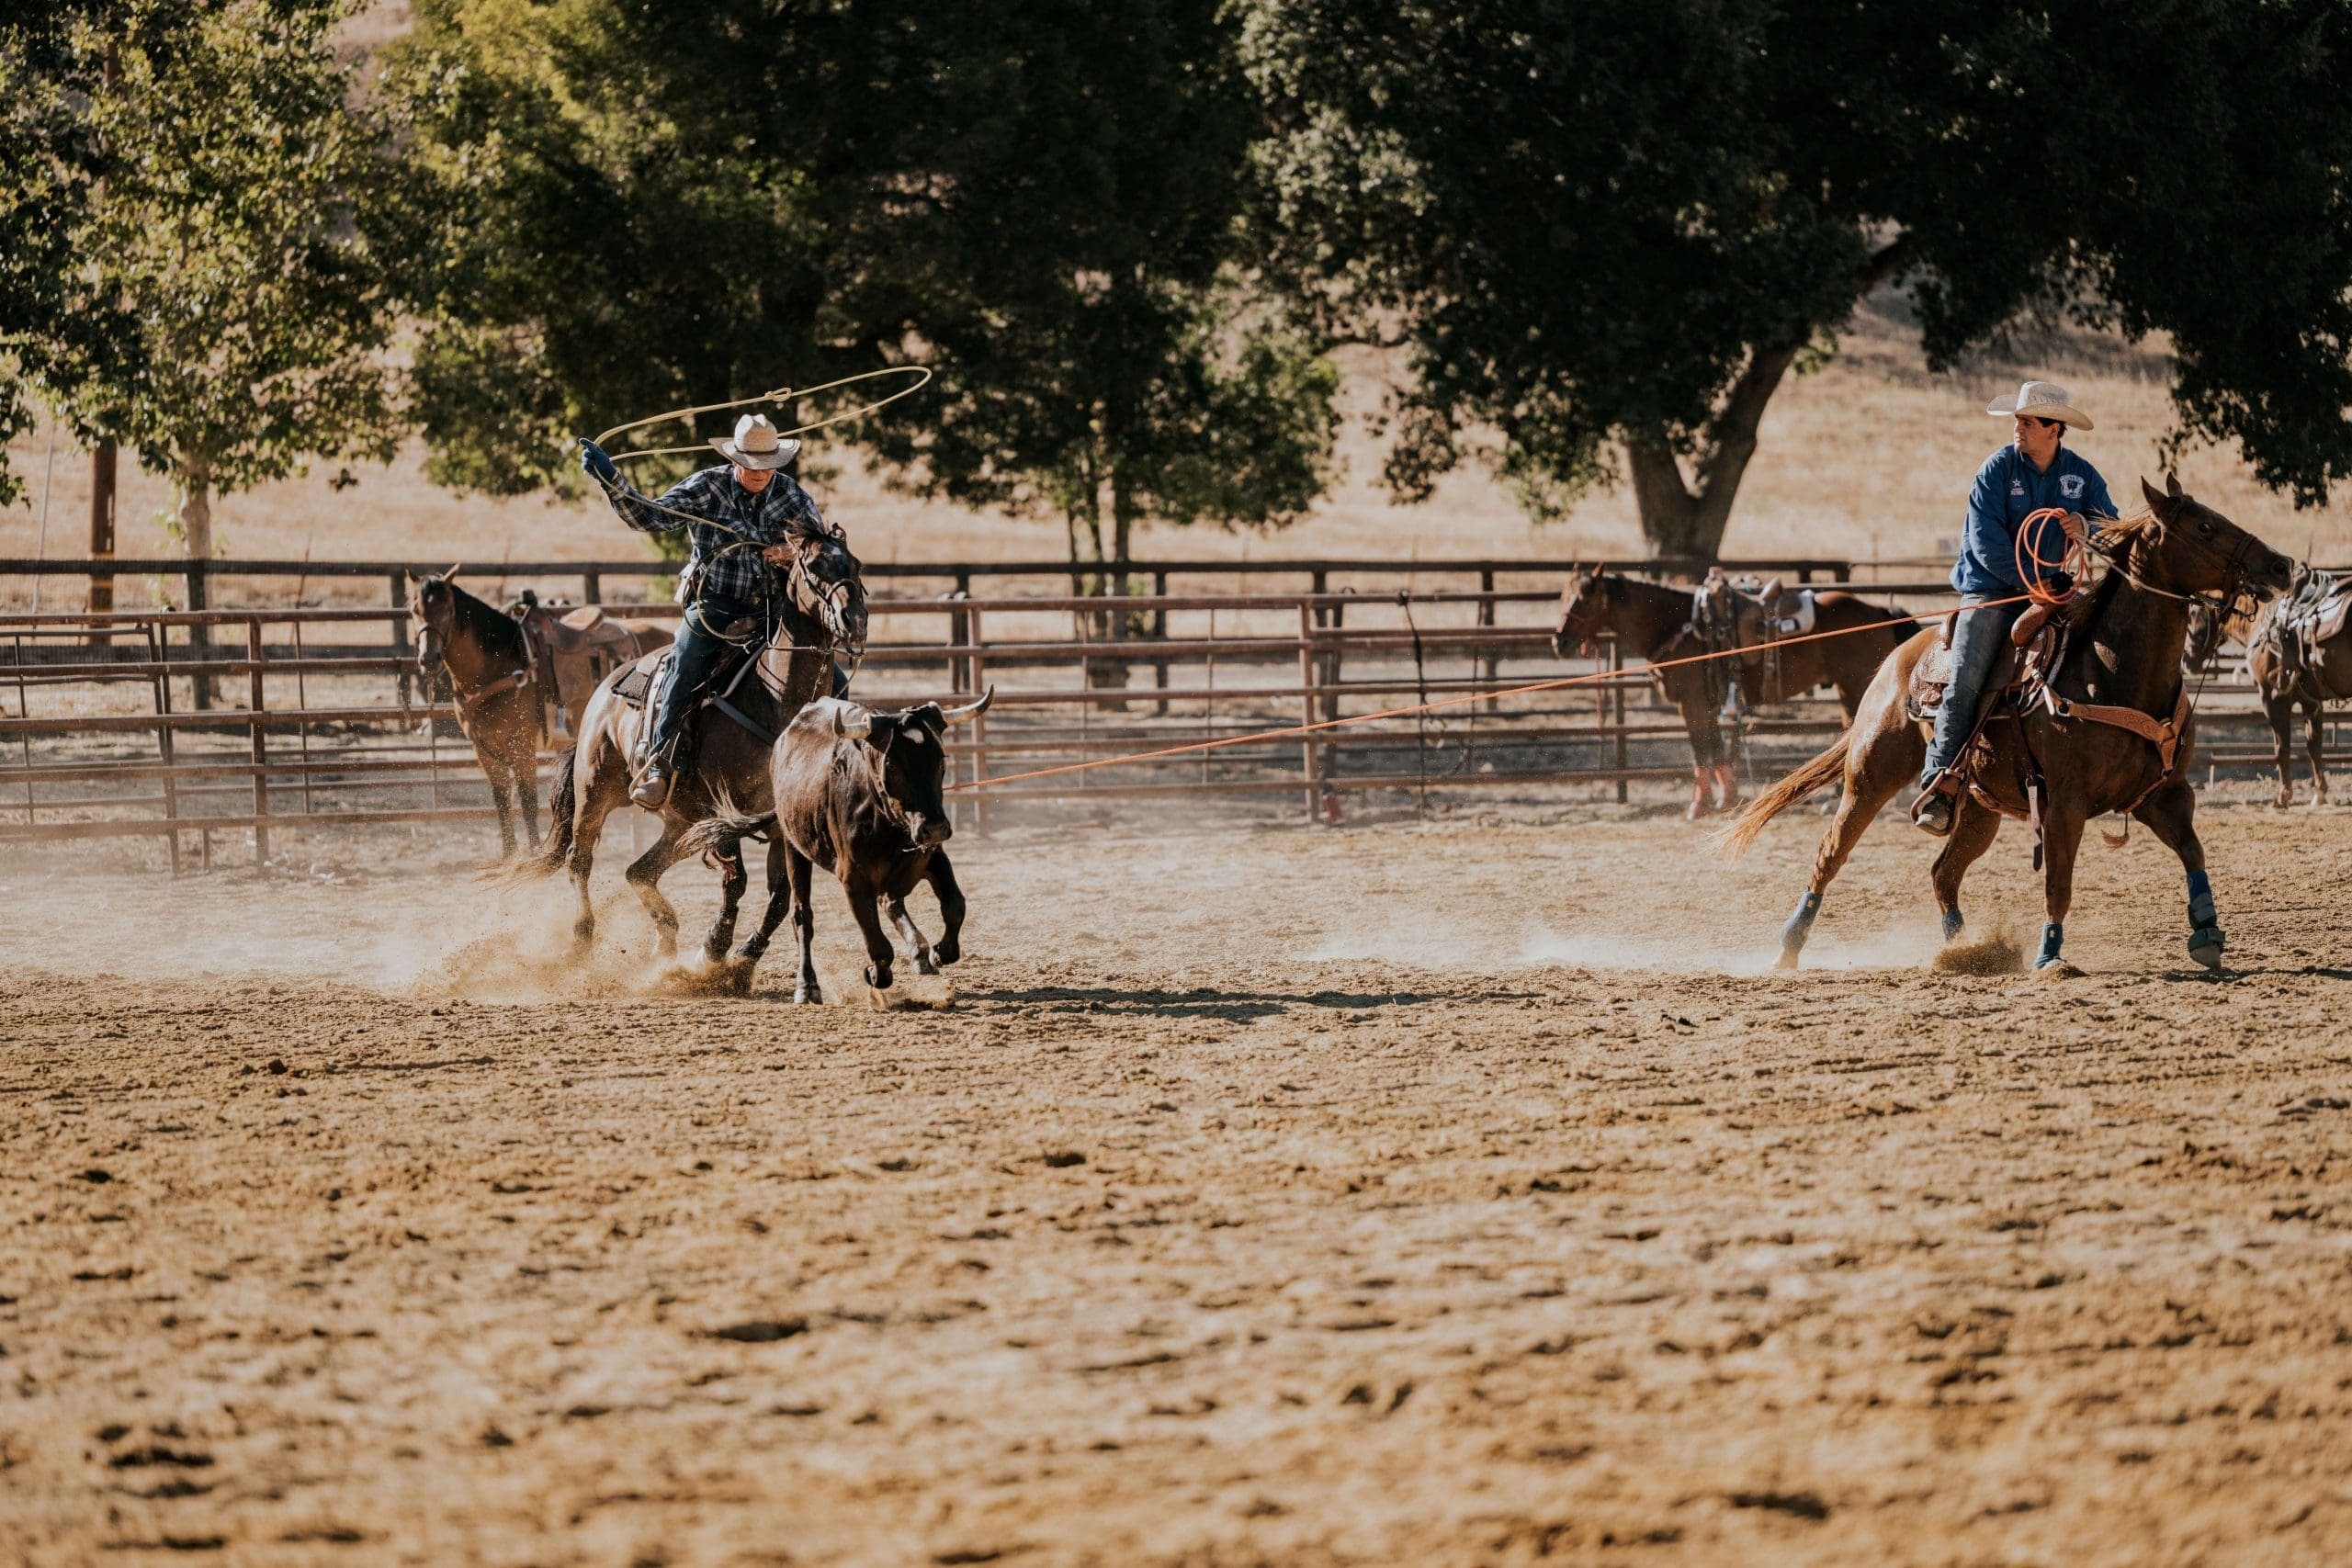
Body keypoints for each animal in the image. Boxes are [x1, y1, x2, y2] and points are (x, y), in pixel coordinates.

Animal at [1552, 564, 1918, 818]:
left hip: (1855, 687)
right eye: (1563, 595)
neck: (1678, 626)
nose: (1559, 641)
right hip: (1848, 690)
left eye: (1583, 599)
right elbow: (1714, 747)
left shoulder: (1693, 703)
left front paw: (1699, 806)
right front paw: (1726, 797)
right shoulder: (1704, 705)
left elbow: (1702, 750)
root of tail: (1881, 611)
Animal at [1721, 472, 2286, 973]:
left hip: (1978, 808)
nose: (2280, 565)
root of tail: (1898, 655)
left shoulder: (2163, 794)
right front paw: (2050, 956)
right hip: (1870, 777)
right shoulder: (2065, 803)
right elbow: (2059, 882)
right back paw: (1789, 946)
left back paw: (1964, 950)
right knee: (1831, 854)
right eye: (2204, 527)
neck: (2113, 671)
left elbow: (2193, 851)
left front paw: (2207, 931)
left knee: (1943, 873)